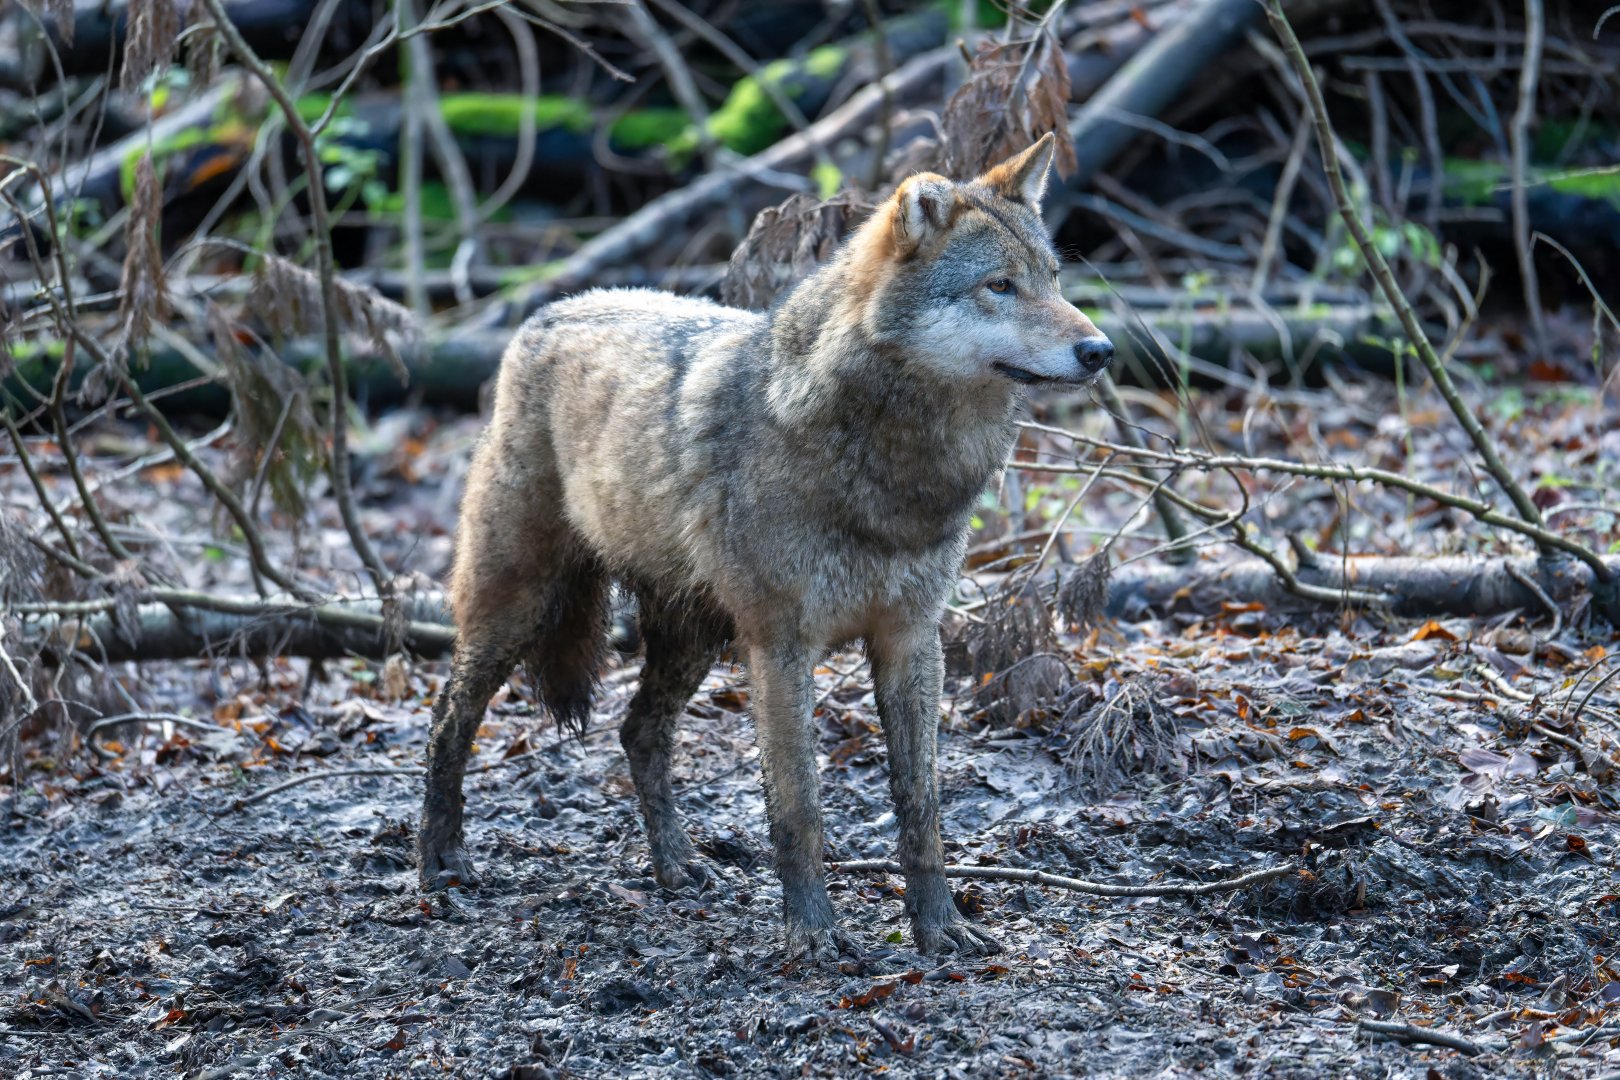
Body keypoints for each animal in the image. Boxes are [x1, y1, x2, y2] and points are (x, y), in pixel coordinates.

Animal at [418, 133, 1112, 958]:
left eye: (1053, 279)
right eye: (998, 286)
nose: (1101, 349)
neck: (889, 469)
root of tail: (542, 316)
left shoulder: (912, 640)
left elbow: (922, 807)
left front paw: (939, 926)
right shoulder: (782, 646)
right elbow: (798, 809)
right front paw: (811, 935)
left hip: (695, 637)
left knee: (637, 732)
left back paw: (676, 866)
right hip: (519, 611)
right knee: (448, 720)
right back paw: (440, 863)